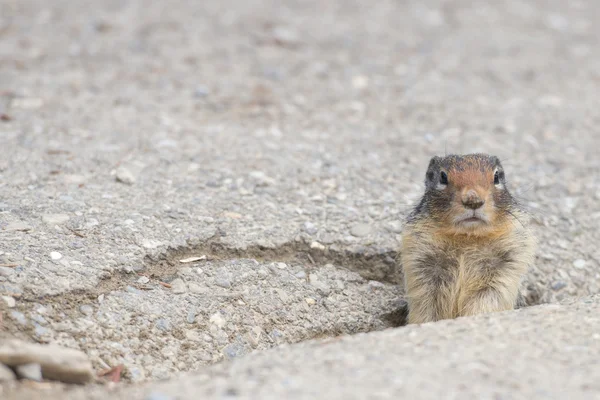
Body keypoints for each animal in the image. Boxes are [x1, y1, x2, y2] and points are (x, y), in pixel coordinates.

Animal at [404, 154, 536, 324]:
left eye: (496, 176)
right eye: (443, 177)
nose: (473, 200)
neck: (468, 237)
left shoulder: (508, 264)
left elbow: (487, 299)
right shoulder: (420, 262)